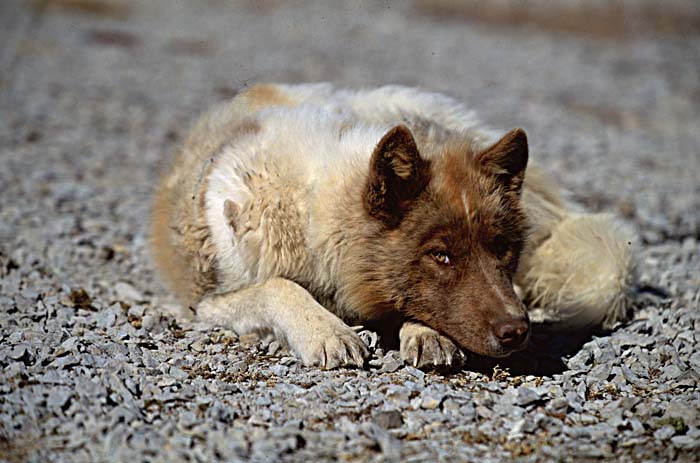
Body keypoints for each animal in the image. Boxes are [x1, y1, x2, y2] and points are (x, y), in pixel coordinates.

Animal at [150, 83, 636, 372]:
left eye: (502, 249)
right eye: (440, 255)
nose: (518, 332)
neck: (318, 215)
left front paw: (424, 333)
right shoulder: (208, 303)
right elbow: (280, 287)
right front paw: (327, 332)